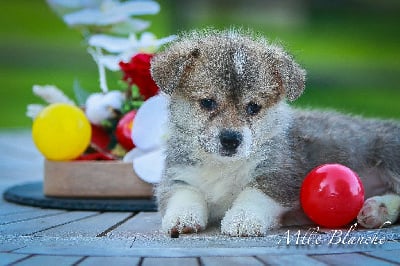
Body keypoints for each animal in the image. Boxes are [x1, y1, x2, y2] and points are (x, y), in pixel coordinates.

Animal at [150, 29, 400, 237]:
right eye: (207, 102)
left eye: (254, 107)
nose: (231, 140)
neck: (223, 167)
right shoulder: (177, 177)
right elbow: (184, 196)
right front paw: (183, 218)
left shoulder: (278, 176)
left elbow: (253, 195)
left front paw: (243, 219)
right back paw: (376, 210)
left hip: (389, 152)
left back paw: (378, 208)